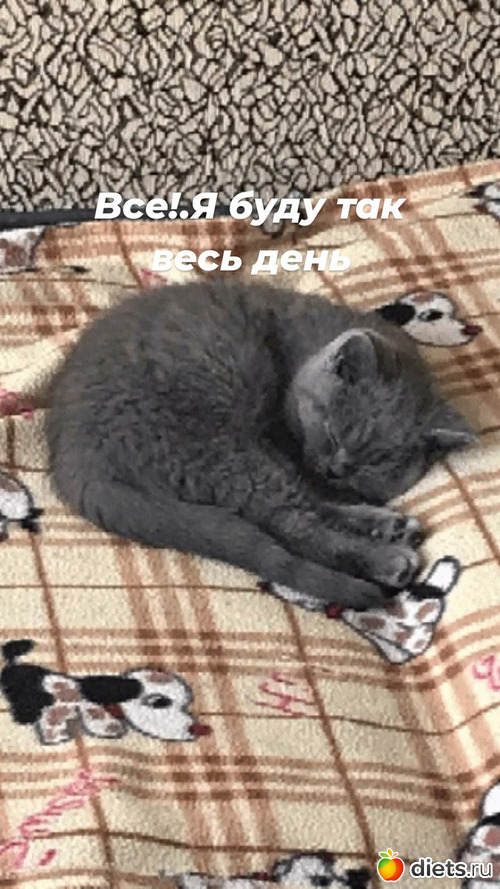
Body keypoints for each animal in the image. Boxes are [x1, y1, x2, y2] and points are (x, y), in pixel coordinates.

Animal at [45, 279, 475, 611]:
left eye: (374, 464)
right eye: (333, 432)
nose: (337, 468)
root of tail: (76, 464)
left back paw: (391, 526)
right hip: (218, 448)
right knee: (294, 525)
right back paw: (389, 557)